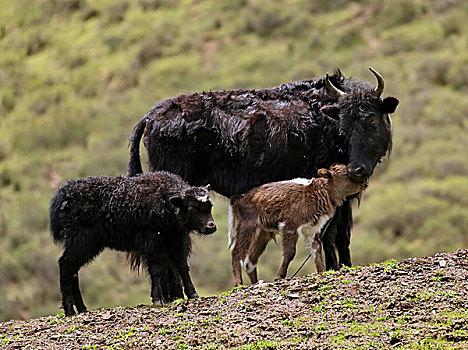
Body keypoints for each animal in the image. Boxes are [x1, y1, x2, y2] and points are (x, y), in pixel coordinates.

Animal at [49, 171, 216, 316]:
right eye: (191, 208)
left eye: (210, 206)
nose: (211, 227)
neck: (164, 201)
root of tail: (64, 195)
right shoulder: (150, 242)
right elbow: (156, 269)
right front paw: (158, 299)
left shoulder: (176, 242)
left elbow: (182, 267)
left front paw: (193, 293)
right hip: (81, 240)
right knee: (66, 266)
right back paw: (69, 310)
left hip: (84, 245)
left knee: (73, 270)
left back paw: (82, 308)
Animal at [229, 163, 368, 286]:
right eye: (345, 173)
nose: (365, 182)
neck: (318, 193)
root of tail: (238, 198)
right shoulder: (290, 225)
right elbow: (290, 252)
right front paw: (280, 276)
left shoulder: (313, 229)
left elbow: (317, 251)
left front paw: (322, 271)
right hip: (247, 225)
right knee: (237, 252)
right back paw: (238, 283)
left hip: (264, 232)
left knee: (250, 260)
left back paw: (256, 283)